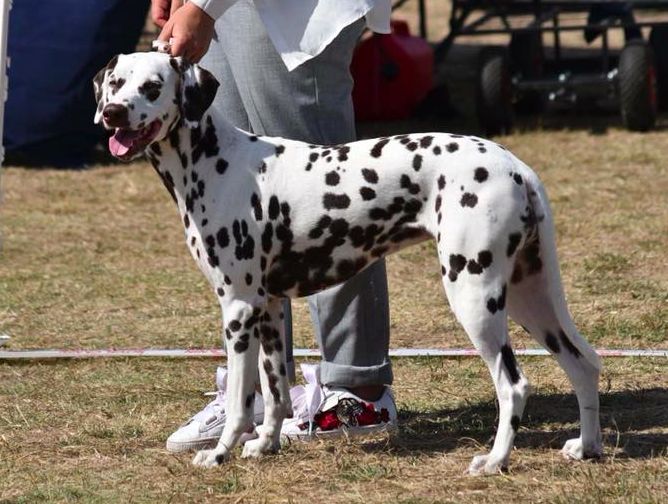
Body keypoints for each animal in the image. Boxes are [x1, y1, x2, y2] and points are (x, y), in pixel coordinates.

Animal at [95, 53, 604, 474]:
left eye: (153, 86)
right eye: (116, 83)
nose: (113, 112)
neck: (216, 163)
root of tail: (515, 166)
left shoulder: (237, 310)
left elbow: (242, 400)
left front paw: (220, 453)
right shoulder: (270, 309)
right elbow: (275, 393)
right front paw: (265, 445)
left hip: (474, 297)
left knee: (512, 386)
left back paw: (495, 461)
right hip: (530, 296)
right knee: (584, 363)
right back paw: (587, 447)